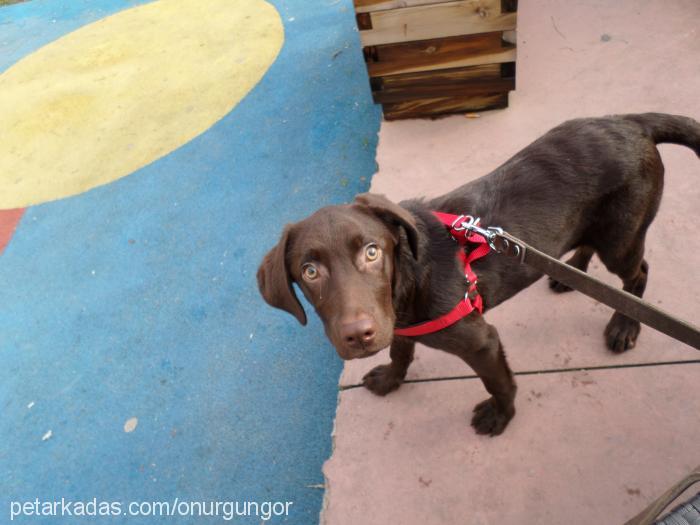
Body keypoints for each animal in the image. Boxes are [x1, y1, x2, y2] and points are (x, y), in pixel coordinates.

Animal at [258, 111, 700, 434]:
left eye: (372, 252)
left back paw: (624, 324)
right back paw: (569, 272)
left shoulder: (481, 341)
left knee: (637, 274)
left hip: (621, 240)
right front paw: (391, 379)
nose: (357, 335)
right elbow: (402, 351)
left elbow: (498, 381)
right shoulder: (397, 324)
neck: (411, 279)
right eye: (309, 271)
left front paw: (501, 415)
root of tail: (632, 122)